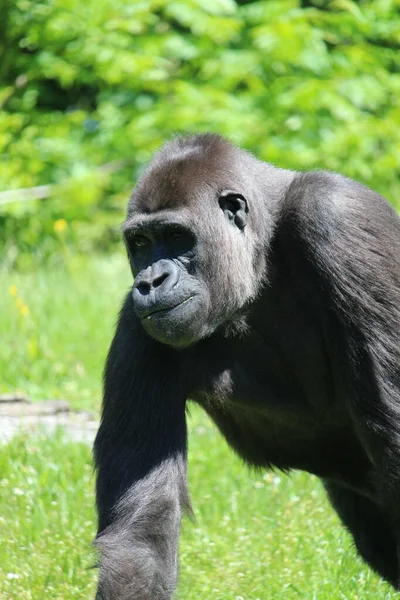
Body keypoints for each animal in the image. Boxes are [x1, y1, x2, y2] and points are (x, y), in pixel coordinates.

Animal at [93, 134, 400, 596]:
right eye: (141, 243)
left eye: (175, 236)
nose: (150, 282)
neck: (261, 254)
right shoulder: (138, 325)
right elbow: (139, 539)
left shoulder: (337, 216)